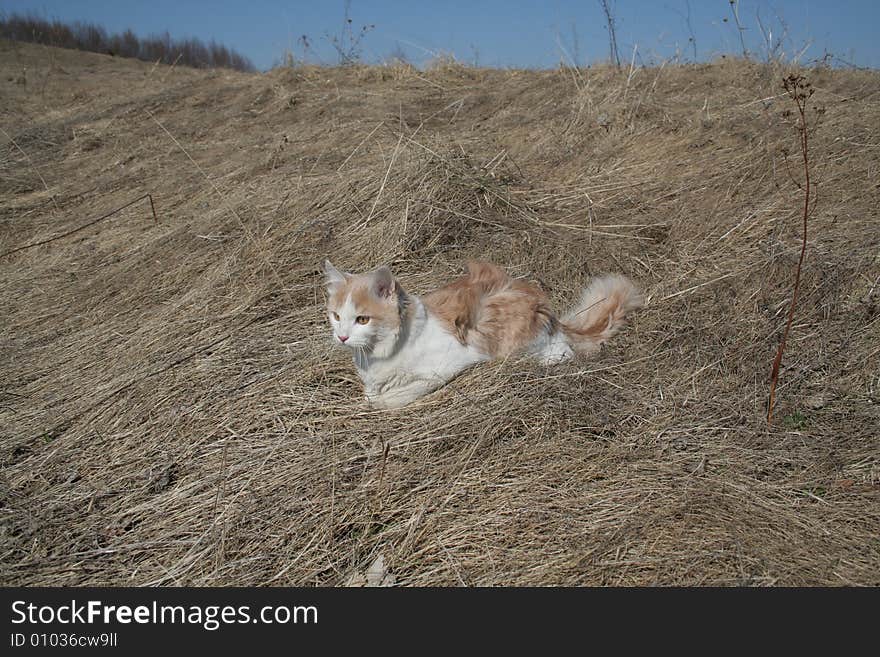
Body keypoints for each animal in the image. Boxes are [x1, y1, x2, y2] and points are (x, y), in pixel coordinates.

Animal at [326, 258, 644, 408]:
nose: (342, 337)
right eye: (336, 316)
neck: (375, 355)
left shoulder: (451, 364)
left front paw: (380, 401)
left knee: (562, 353)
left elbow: (393, 397)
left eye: (362, 319)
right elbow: (372, 393)